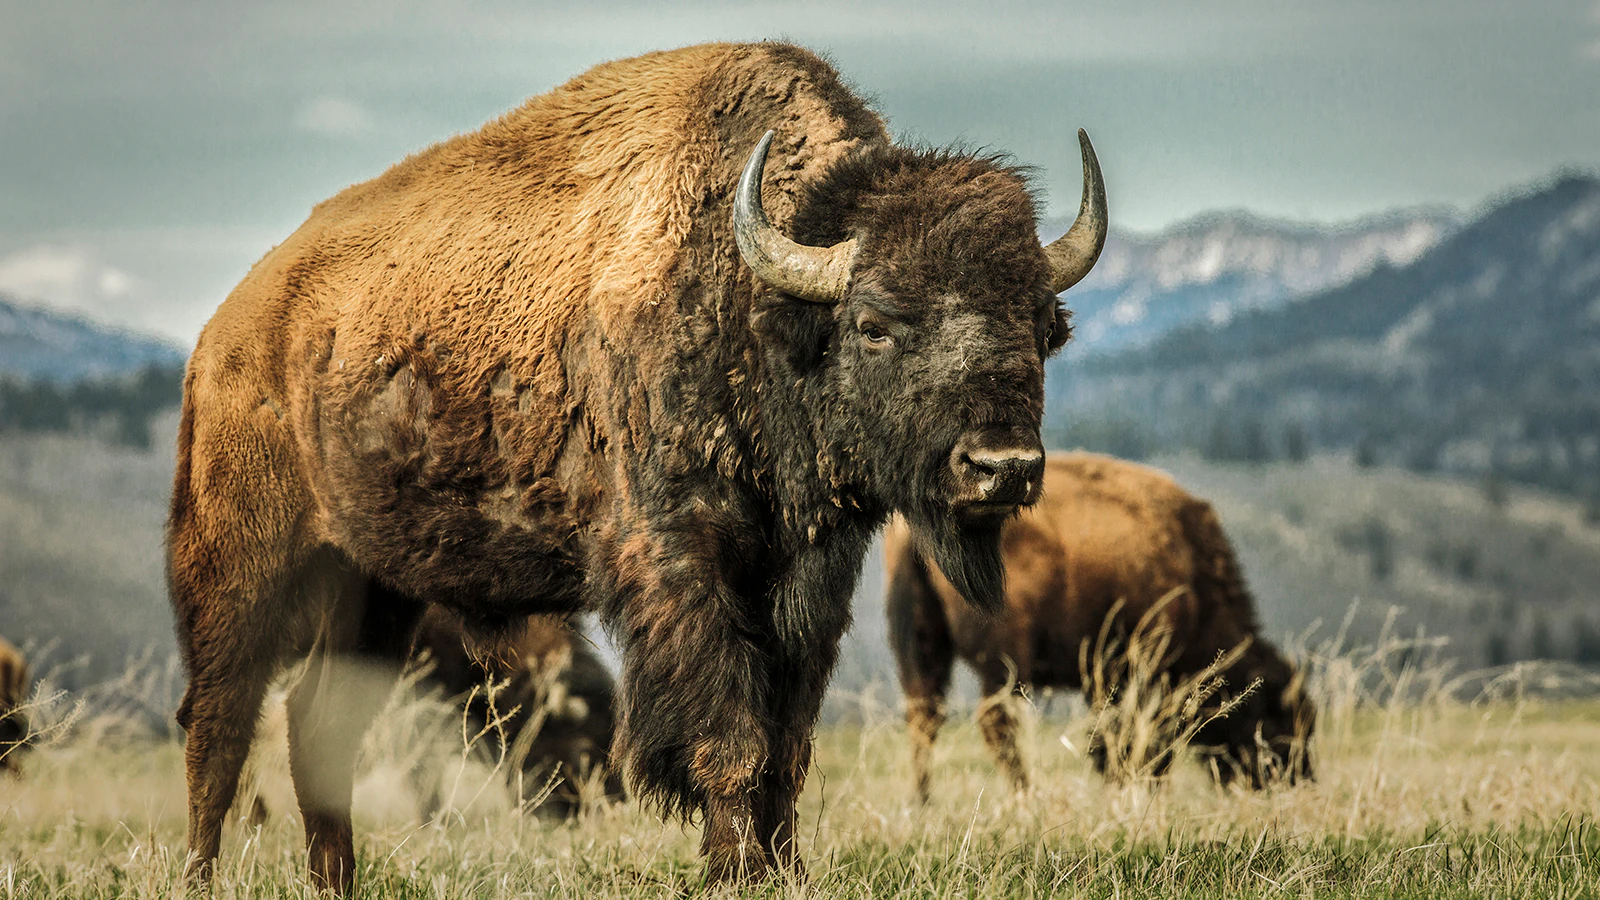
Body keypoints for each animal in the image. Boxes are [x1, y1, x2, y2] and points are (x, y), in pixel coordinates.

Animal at [168, 42, 1106, 888]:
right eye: (875, 322)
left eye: (1040, 324)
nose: (1002, 467)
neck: (755, 305)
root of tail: (226, 332)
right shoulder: (683, 565)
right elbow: (732, 738)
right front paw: (734, 874)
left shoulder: (808, 584)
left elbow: (788, 743)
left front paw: (784, 871)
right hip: (243, 571)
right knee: (218, 724)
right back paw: (202, 876)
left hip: (375, 586)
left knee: (316, 724)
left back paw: (336, 880)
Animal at [886, 452, 1314, 801]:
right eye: (1276, 717)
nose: (1297, 780)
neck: (1191, 569)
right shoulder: (1141, 666)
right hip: (1005, 658)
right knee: (995, 720)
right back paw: (1027, 796)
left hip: (922, 649)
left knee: (924, 716)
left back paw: (923, 803)